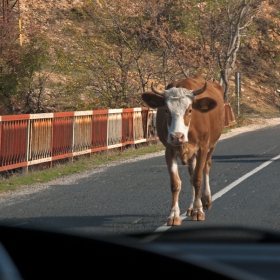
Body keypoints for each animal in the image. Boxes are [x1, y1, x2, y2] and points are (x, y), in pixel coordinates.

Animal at [141, 72, 224, 225]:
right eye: (166, 110)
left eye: (190, 110)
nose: (177, 136)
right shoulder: (169, 150)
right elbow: (176, 183)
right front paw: (174, 215)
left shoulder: (203, 147)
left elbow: (198, 179)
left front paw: (199, 211)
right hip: (191, 154)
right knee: (191, 174)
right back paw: (191, 208)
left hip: (212, 145)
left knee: (206, 167)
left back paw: (206, 200)